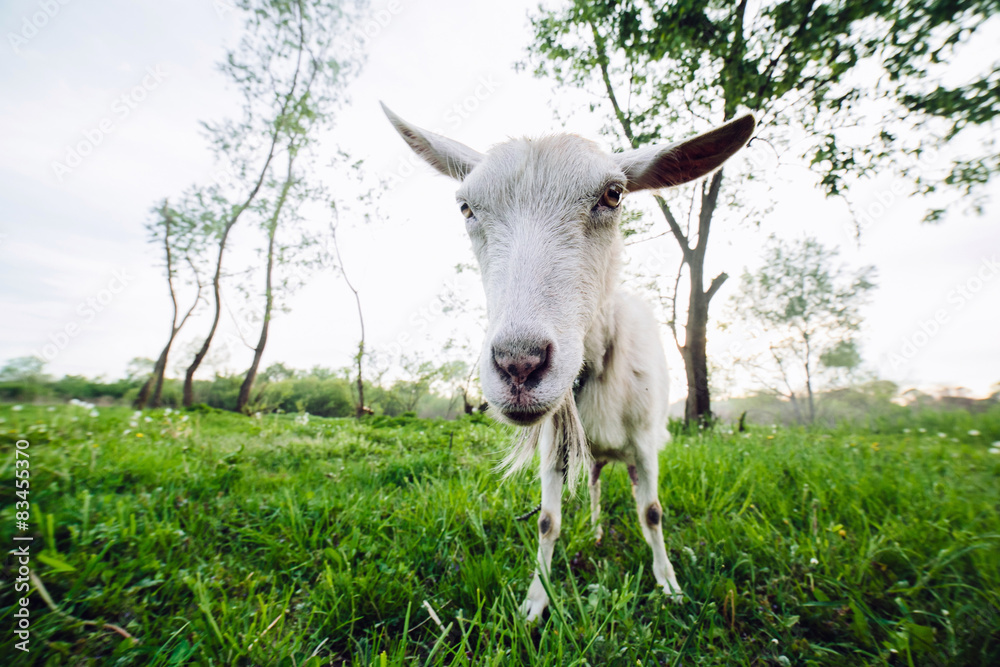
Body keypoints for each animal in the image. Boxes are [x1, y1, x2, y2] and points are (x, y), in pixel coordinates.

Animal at [383, 103, 755, 621]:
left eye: (613, 195)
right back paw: (596, 532)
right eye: (466, 207)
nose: (519, 364)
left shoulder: (646, 443)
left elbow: (652, 512)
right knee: (595, 485)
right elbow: (546, 521)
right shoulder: (553, 448)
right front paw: (534, 602)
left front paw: (670, 586)